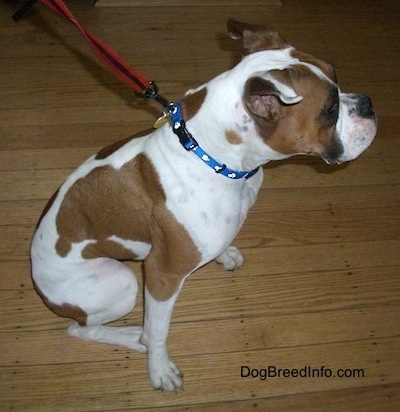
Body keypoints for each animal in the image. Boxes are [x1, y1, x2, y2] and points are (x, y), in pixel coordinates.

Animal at [30, 19, 376, 392]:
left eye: (336, 77)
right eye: (329, 109)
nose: (368, 103)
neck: (214, 156)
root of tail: (39, 284)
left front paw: (225, 255)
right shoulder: (162, 274)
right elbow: (159, 330)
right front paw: (160, 369)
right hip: (121, 283)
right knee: (83, 329)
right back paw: (133, 336)